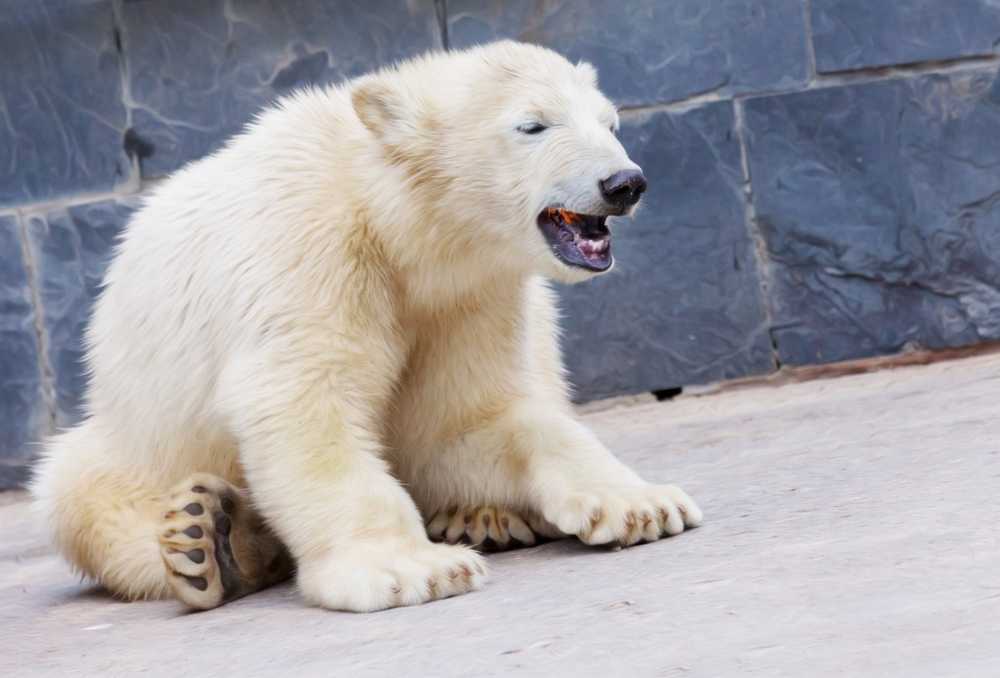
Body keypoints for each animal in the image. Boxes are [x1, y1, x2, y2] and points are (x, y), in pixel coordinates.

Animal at [31, 42, 704, 616]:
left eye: (610, 123)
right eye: (533, 125)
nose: (624, 183)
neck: (387, 220)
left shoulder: (471, 297)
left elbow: (464, 421)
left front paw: (643, 504)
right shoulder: (307, 256)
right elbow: (306, 404)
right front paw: (414, 569)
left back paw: (481, 518)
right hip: (129, 437)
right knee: (77, 490)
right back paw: (208, 540)